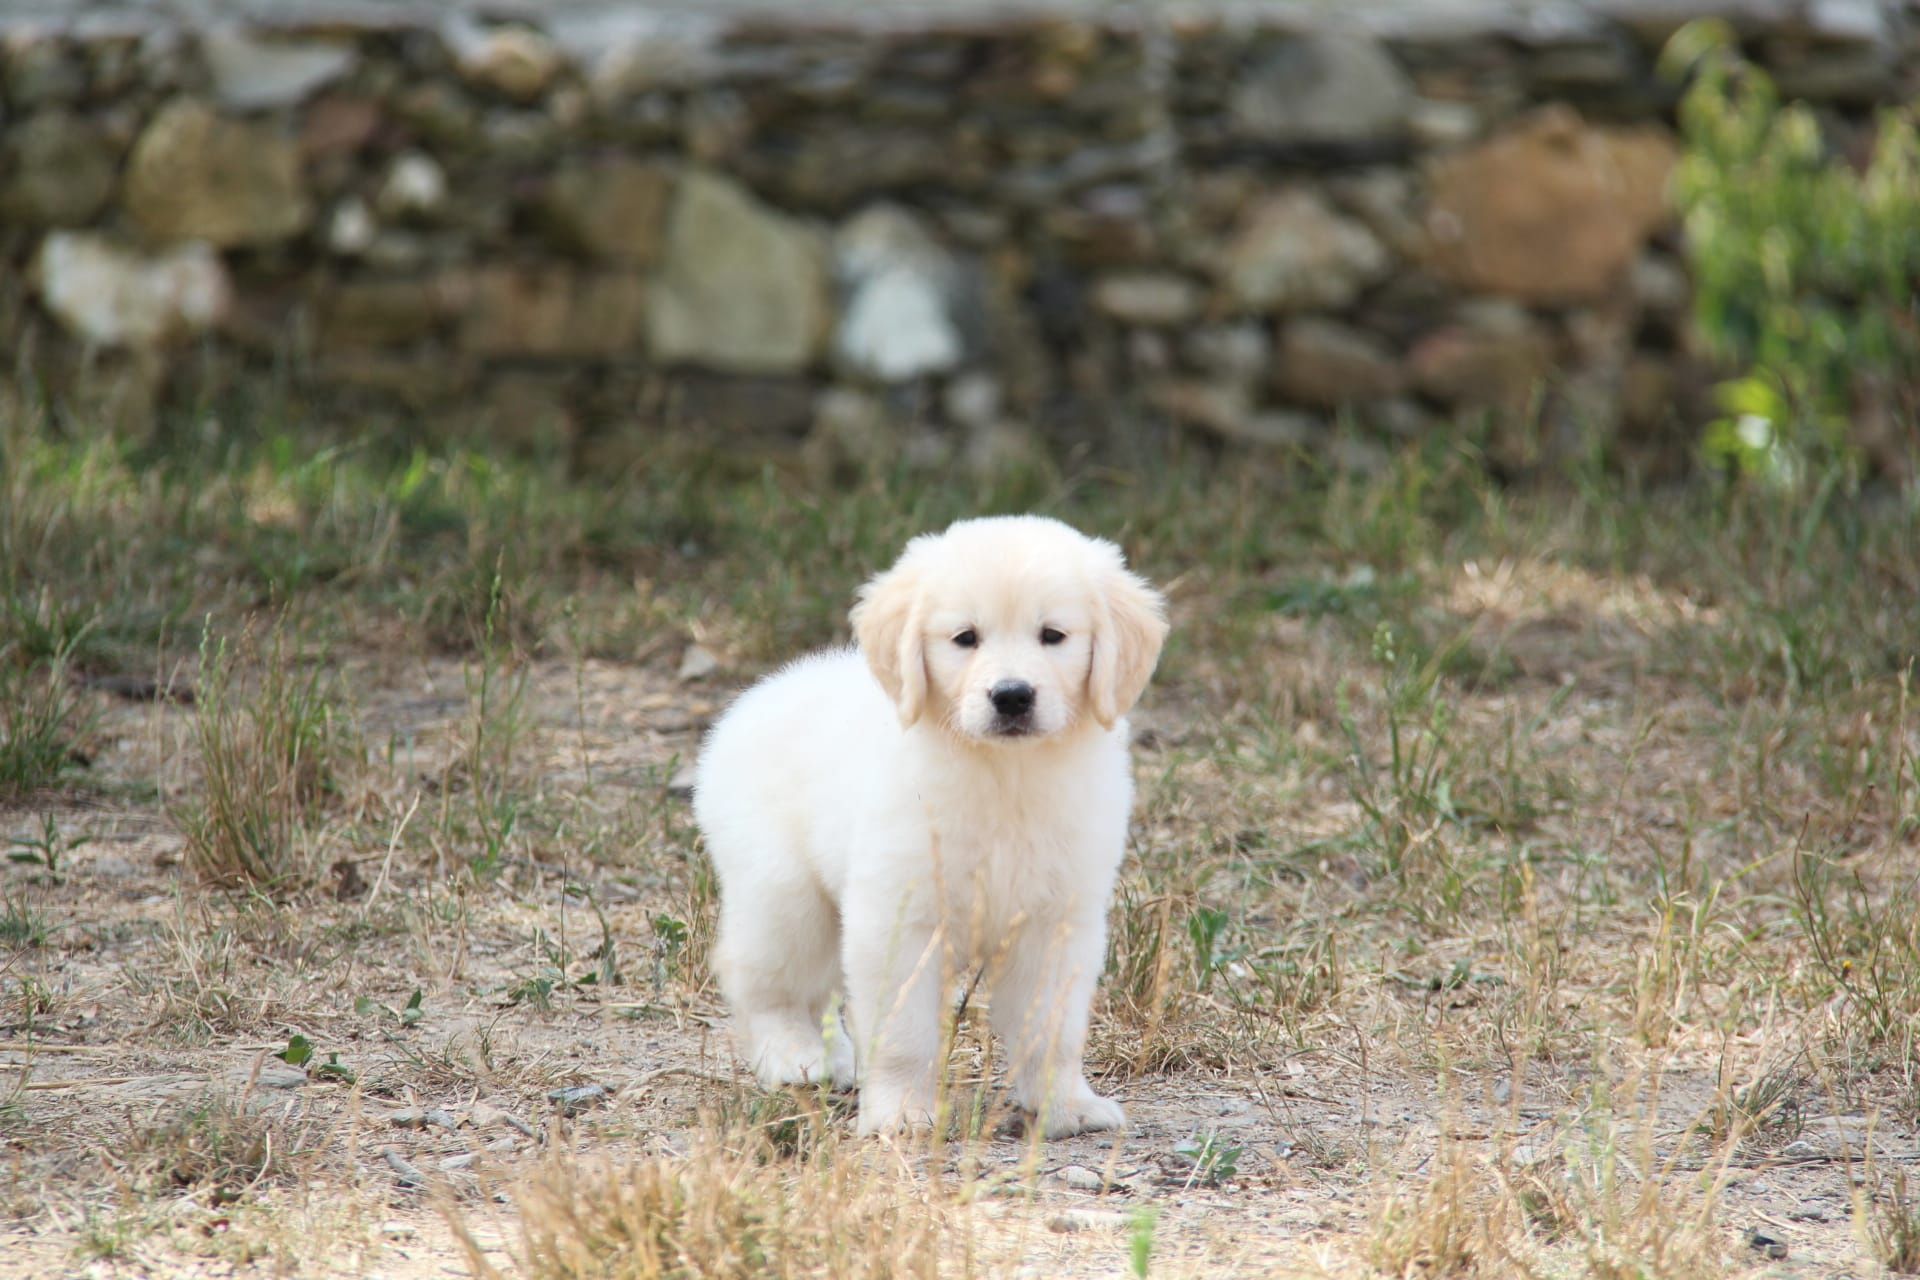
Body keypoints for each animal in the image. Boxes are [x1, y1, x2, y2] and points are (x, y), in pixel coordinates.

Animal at [695, 514, 1167, 1136]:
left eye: (1053, 635)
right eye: (965, 638)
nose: (1012, 696)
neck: (1005, 775)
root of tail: (759, 696)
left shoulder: (1056, 922)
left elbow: (1052, 1029)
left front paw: (1065, 1105)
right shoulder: (900, 917)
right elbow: (903, 1032)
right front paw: (899, 1114)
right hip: (784, 894)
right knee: (765, 980)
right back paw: (795, 1056)